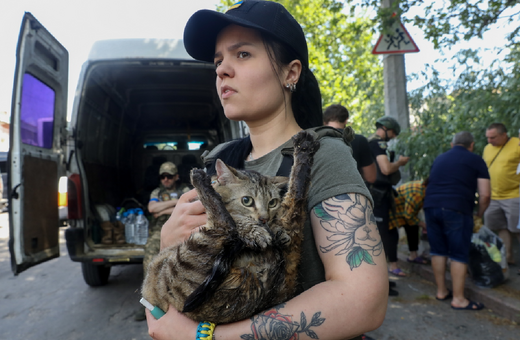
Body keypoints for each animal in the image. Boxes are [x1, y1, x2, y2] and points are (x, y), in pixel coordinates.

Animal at [142, 130, 320, 324]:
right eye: (247, 200)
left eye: (272, 203)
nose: (264, 219)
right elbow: (235, 218)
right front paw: (254, 231)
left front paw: (277, 231)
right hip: (178, 271)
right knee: (225, 225)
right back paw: (199, 179)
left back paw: (304, 148)